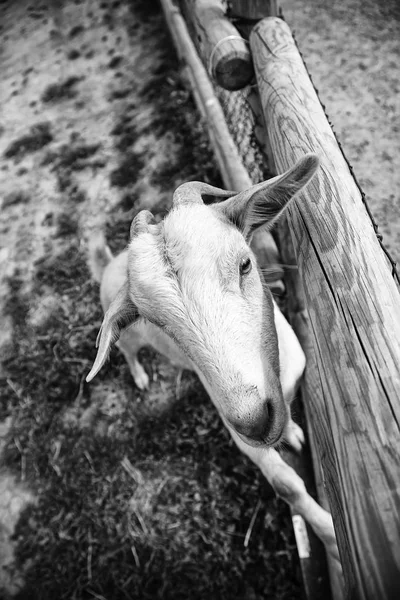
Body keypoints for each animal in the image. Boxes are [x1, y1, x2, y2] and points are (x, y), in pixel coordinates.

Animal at [88, 154, 340, 564]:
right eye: (158, 321)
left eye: (245, 264)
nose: (254, 422)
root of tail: (110, 266)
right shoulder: (238, 433)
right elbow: (286, 486)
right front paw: (331, 537)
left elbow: (286, 416)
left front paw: (292, 432)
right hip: (127, 342)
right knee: (128, 354)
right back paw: (140, 376)